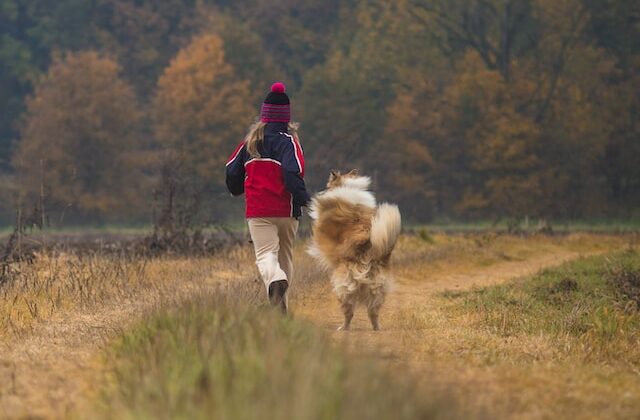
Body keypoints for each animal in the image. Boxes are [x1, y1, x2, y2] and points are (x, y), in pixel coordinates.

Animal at [308, 169, 400, 330]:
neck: (347, 185)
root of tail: (369, 251)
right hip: (377, 288)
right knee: (373, 313)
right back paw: (377, 328)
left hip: (343, 287)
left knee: (349, 312)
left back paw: (343, 328)